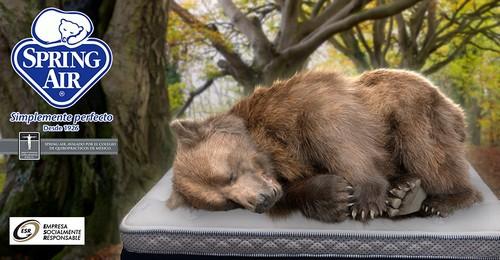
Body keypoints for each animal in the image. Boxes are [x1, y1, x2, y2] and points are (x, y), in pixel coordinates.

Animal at [166, 69, 482, 223]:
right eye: (227, 203)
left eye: (229, 174)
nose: (262, 201)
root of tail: (458, 111)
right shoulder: (286, 177)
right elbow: (300, 191)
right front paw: (337, 196)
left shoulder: (304, 105)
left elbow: (336, 135)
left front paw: (365, 201)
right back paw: (404, 195)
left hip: (415, 108)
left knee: (427, 152)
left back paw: (440, 200)